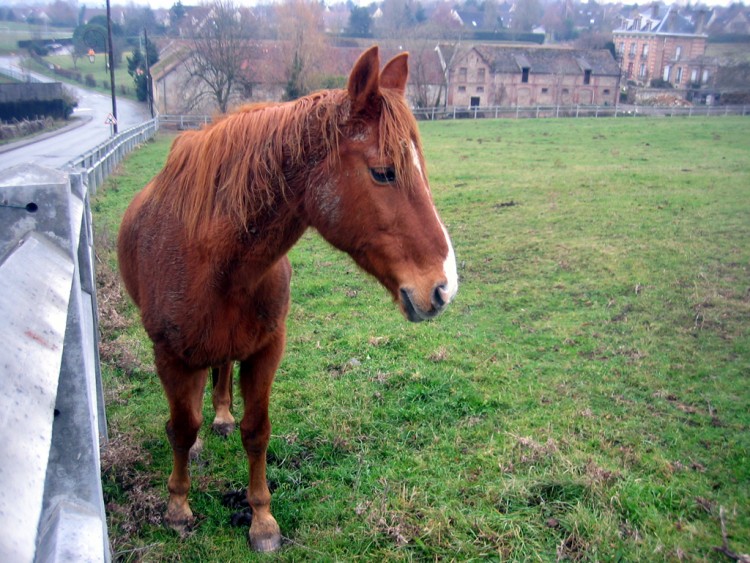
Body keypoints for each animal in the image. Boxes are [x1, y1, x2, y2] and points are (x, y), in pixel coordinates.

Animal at [117, 47, 458, 552]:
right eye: (383, 172)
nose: (443, 286)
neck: (214, 261)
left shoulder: (266, 349)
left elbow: (256, 432)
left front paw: (262, 520)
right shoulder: (170, 354)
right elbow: (180, 428)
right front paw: (177, 507)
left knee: (220, 374)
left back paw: (220, 415)